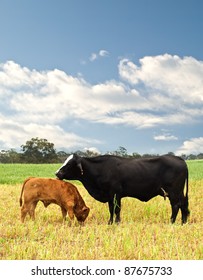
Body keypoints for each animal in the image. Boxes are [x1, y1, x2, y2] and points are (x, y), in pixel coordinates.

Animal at [55, 154, 189, 224]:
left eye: (69, 164)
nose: (57, 173)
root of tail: (178, 158)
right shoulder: (111, 196)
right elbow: (112, 210)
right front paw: (112, 222)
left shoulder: (115, 194)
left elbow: (116, 209)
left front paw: (116, 222)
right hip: (179, 192)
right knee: (184, 205)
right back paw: (183, 222)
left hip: (173, 192)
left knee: (176, 206)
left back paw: (172, 222)